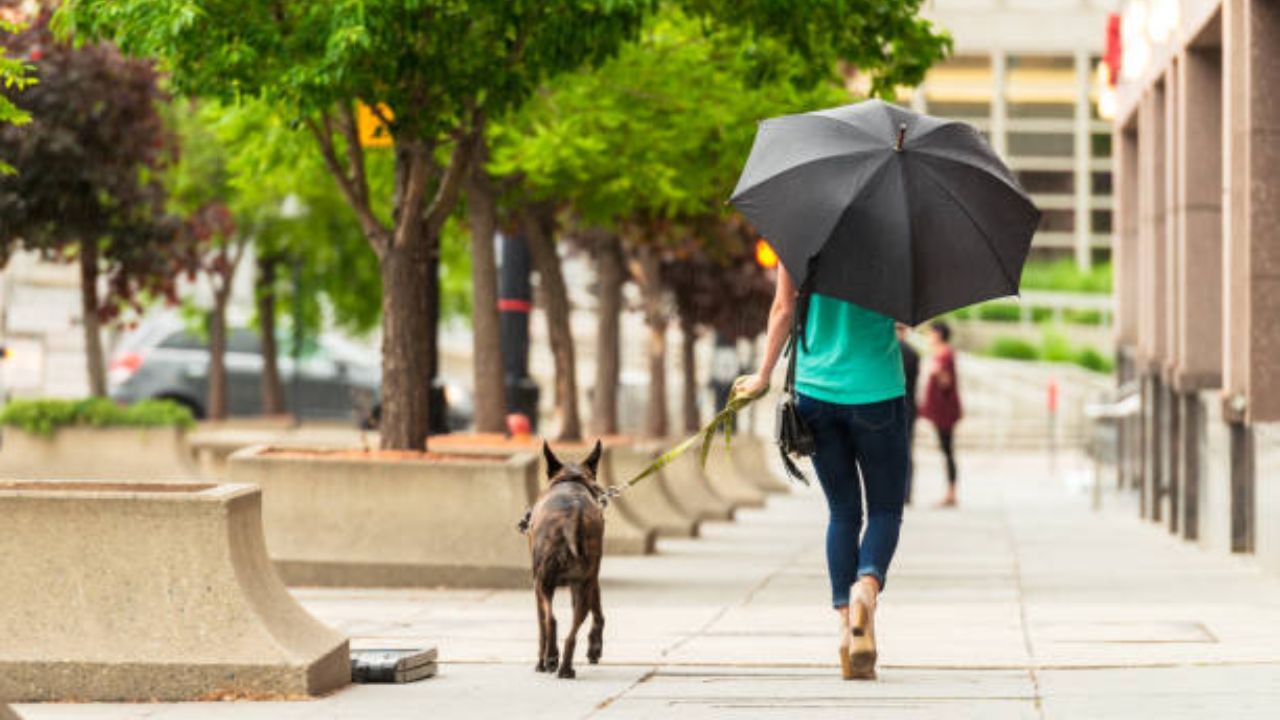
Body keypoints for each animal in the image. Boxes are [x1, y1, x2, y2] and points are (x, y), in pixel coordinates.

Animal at [529, 438, 609, 676]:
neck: (572, 481)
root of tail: (572, 515)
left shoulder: (536, 587)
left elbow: (541, 627)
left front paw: (541, 662)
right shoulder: (590, 582)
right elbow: (598, 614)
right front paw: (594, 648)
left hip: (543, 584)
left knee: (551, 621)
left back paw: (550, 659)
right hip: (583, 586)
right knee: (573, 632)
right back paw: (565, 668)